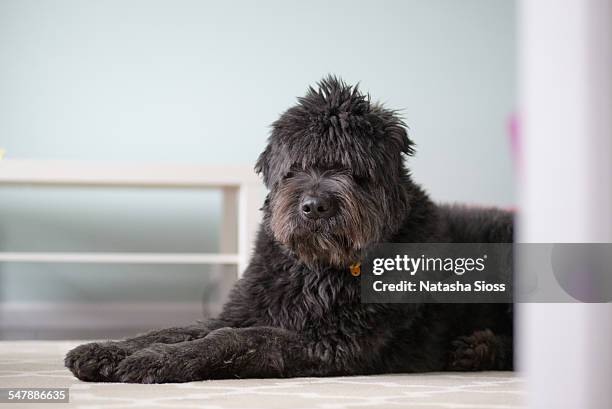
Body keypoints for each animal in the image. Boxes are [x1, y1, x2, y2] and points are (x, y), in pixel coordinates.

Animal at [65, 75, 512, 382]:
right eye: (295, 166)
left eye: (350, 168)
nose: (314, 206)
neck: (315, 270)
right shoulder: (247, 310)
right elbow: (180, 328)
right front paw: (108, 351)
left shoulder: (331, 343)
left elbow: (233, 339)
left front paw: (153, 361)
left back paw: (478, 349)